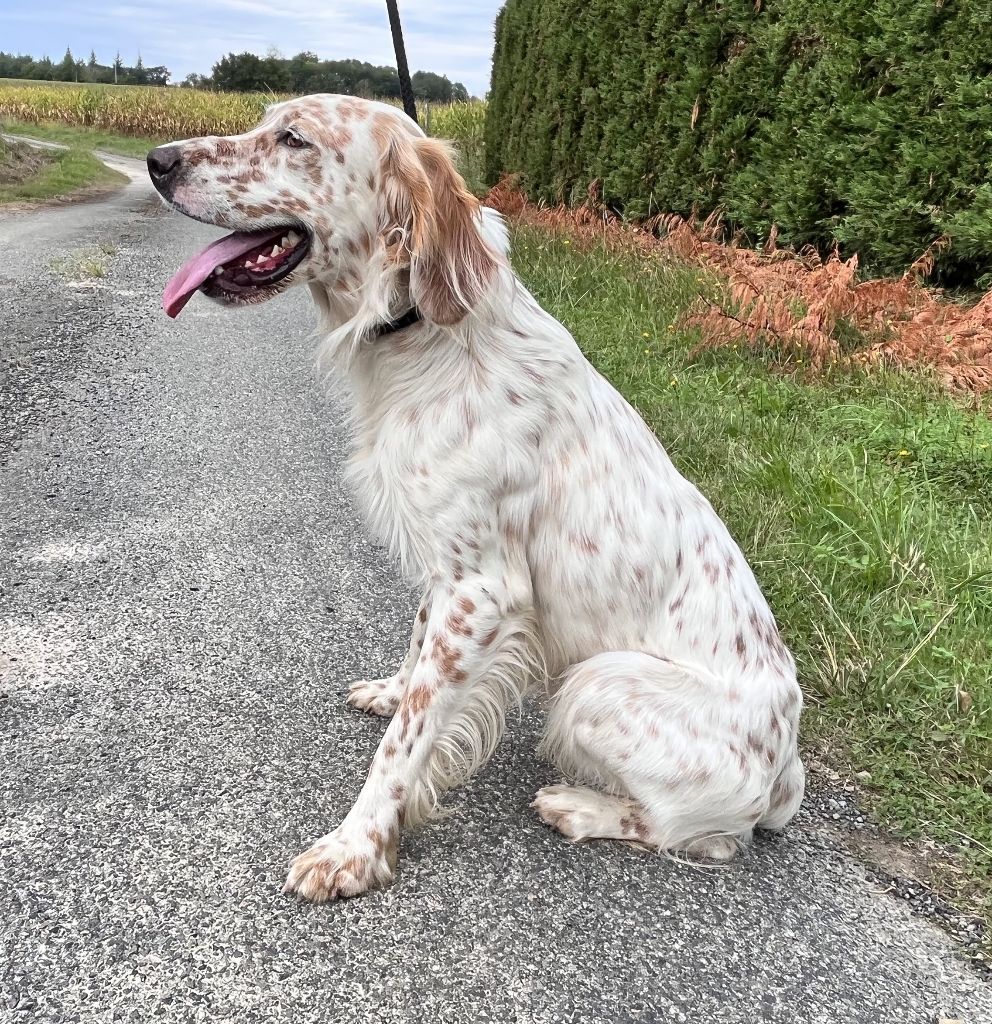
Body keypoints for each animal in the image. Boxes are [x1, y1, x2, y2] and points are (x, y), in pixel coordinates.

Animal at [149, 92, 806, 901]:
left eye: (293, 138)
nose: (157, 161)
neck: (425, 331)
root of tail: (787, 773)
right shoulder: (446, 572)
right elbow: (415, 662)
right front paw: (393, 690)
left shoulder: (482, 592)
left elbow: (404, 747)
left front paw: (354, 848)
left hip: (596, 684)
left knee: (701, 837)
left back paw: (578, 806)